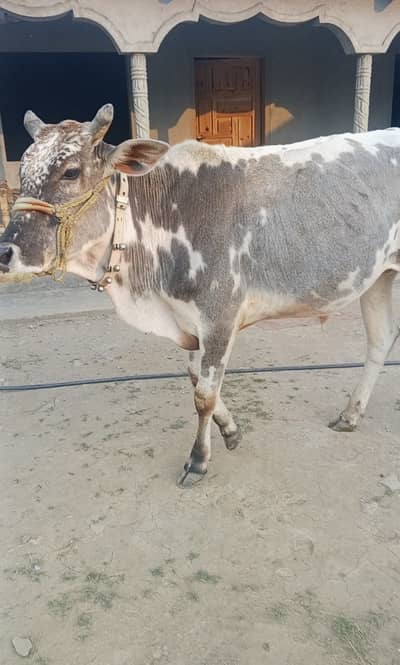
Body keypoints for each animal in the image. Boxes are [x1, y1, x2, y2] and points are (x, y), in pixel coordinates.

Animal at [1, 104, 400, 485]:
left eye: (70, 172)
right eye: (24, 172)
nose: (5, 251)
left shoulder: (220, 317)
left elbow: (204, 394)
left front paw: (198, 460)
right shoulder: (192, 324)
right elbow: (195, 378)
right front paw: (231, 431)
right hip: (379, 277)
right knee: (380, 340)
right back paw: (350, 414)